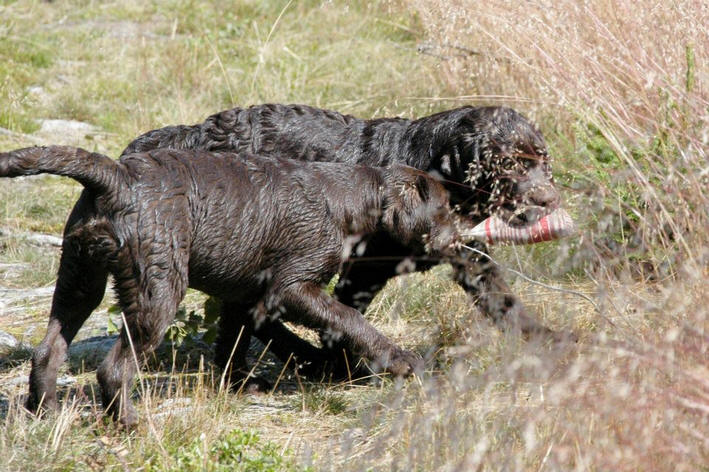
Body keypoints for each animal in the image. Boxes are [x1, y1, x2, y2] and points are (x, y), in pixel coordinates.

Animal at [4, 145, 470, 428]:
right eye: (444, 208)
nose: (460, 238)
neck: (353, 197)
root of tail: (115, 178)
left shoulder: (243, 296)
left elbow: (232, 342)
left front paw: (240, 385)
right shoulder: (293, 287)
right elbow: (349, 319)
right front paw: (398, 360)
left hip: (79, 278)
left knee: (48, 351)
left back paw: (45, 413)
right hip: (158, 290)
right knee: (114, 369)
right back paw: (132, 423)